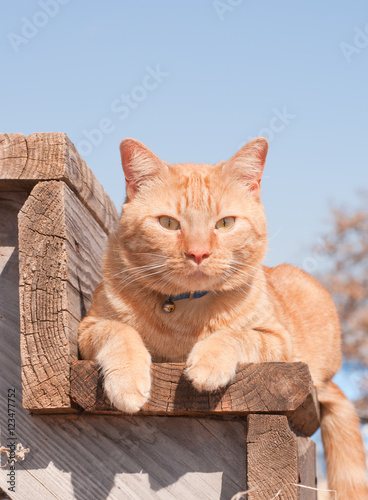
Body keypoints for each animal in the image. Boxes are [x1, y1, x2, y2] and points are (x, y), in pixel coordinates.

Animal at [79, 136, 366, 496]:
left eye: (225, 223)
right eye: (168, 223)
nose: (198, 253)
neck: (185, 312)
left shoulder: (277, 342)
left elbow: (235, 335)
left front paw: (207, 363)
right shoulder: (89, 328)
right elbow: (120, 331)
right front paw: (127, 381)